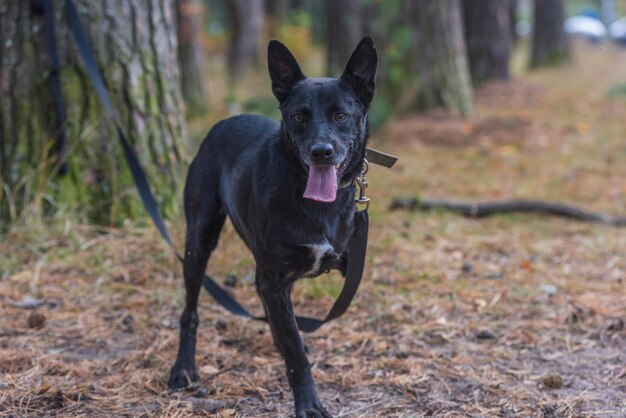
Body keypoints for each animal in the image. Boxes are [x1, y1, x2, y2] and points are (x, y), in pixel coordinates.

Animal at [167, 36, 376, 418]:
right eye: (299, 117)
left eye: (341, 115)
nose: (321, 152)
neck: (310, 197)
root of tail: (225, 120)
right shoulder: (275, 280)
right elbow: (295, 352)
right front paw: (308, 404)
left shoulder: (343, 264)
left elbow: (291, 333)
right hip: (198, 243)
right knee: (190, 311)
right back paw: (183, 368)